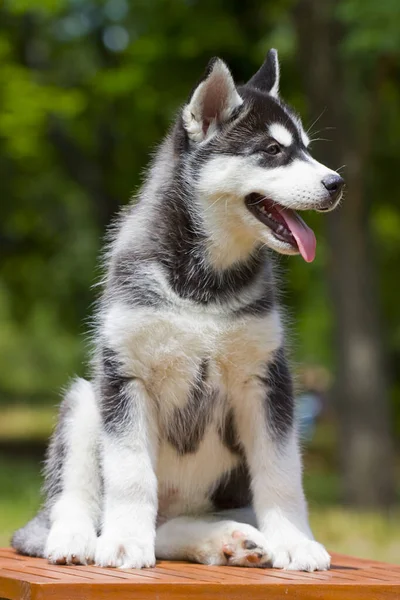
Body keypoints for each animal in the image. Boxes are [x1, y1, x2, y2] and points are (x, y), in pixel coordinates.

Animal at [12, 50, 344, 572]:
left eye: (308, 150)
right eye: (272, 150)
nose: (337, 183)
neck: (204, 285)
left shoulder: (268, 380)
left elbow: (282, 472)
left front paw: (294, 541)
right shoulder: (125, 375)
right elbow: (130, 474)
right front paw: (124, 542)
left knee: (171, 528)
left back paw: (227, 540)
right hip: (85, 400)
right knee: (70, 501)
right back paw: (76, 538)